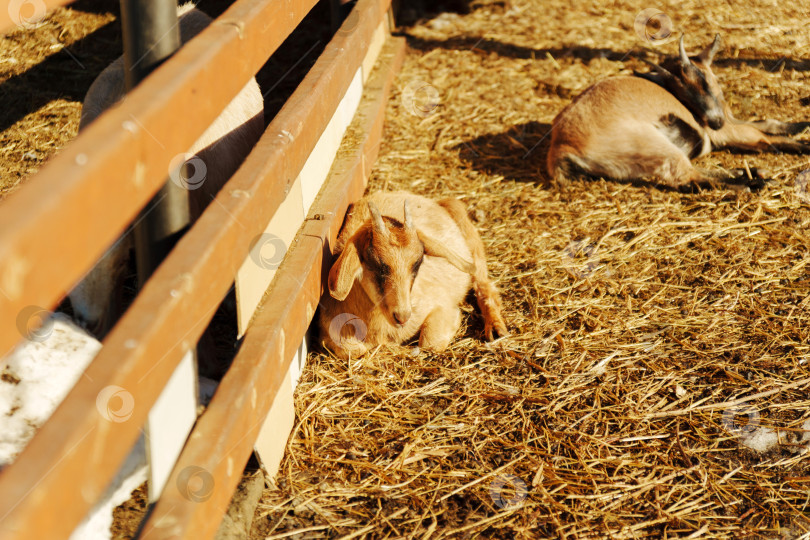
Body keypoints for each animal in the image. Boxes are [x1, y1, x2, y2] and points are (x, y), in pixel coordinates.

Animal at [319, 191, 507, 357]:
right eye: (376, 263)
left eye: (417, 263)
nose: (402, 317)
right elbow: (353, 350)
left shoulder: (443, 306)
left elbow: (430, 343)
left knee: (484, 284)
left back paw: (496, 329)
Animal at [547, 34, 810, 190]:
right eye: (682, 90)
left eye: (704, 79)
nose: (713, 121)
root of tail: (562, 146)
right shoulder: (728, 131)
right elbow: (766, 137)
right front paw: (804, 143)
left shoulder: (729, 124)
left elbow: (765, 122)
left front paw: (799, 125)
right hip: (656, 147)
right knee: (688, 178)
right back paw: (752, 182)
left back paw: (750, 172)